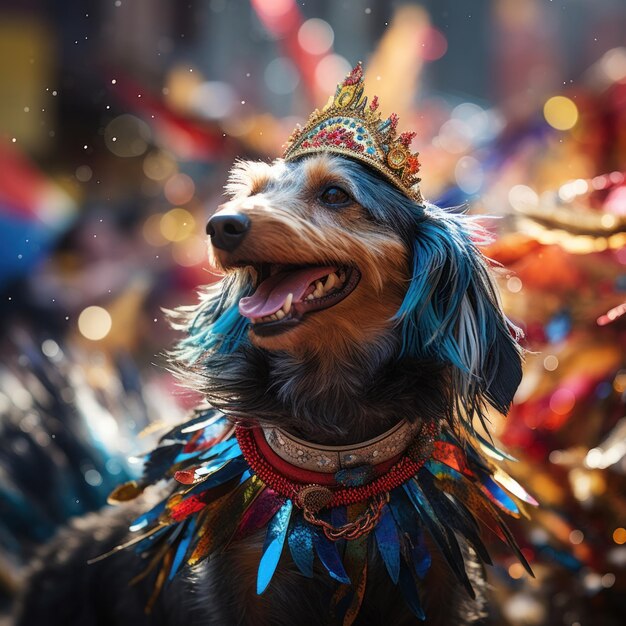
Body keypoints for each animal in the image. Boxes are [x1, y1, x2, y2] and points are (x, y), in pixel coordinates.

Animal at [14, 66, 528, 620]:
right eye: (251, 193)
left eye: (335, 195)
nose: (220, 225)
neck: (337, 464)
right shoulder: (243, 581)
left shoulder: (434, 575)